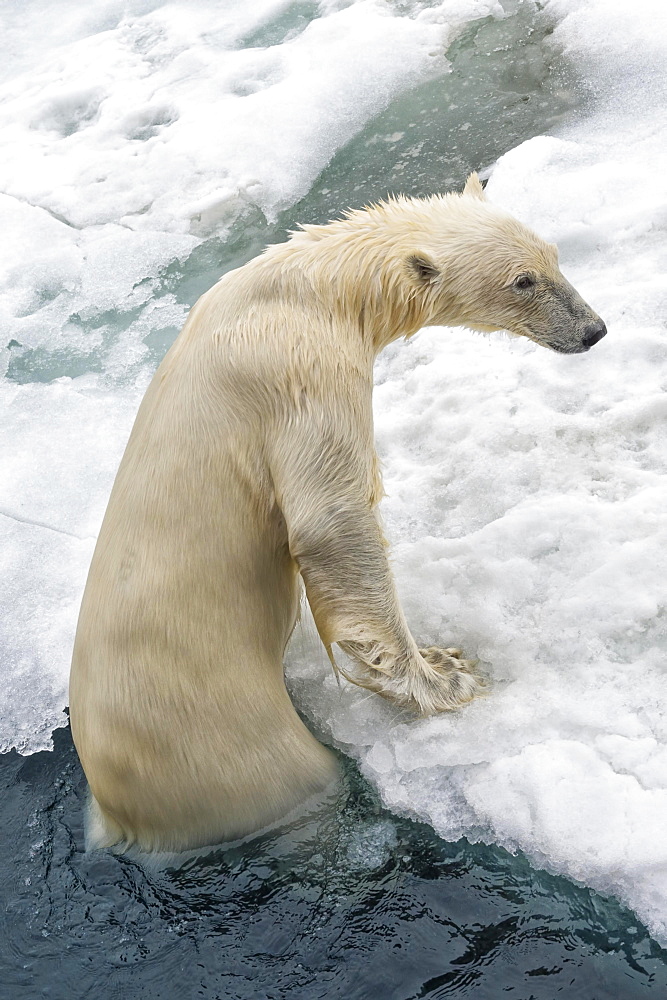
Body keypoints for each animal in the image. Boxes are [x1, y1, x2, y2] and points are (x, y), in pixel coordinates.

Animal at [70, 174, 608, 852]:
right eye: (523, 281)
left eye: (553, 257)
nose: (593, 330)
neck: (313, 285)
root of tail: (114, 810)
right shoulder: (302, 368)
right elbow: (333, 521)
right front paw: (444, 675)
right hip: (218, 746)